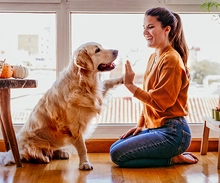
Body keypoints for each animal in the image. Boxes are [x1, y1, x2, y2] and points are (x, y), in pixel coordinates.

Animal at [0, 41, 123, 170]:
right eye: (97, 50)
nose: (116, 51)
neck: (83, 83)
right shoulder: (75, 127)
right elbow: (82, 148)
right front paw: (85, 163)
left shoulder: (96, 96)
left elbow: (108, 82)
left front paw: (123, 77)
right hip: (32, 142)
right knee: (30, 154)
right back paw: (42, 158)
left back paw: (61, 153)